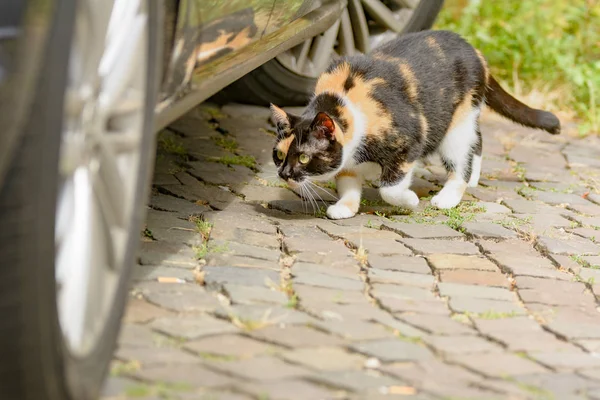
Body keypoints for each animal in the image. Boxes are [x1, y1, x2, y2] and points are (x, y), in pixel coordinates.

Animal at [270, 30, 560, 220]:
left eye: (304, 157)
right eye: (279, 155)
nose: (284, 174)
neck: (343, 100)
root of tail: (475, 51)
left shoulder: (409, 141)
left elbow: (390, 188)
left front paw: (409, 200)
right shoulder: (348, 158)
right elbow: (348, 182)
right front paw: (345, 207)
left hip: (455, 126)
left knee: (461, 159)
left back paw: (449, 196)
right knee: (477, 139)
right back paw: (475, 177)